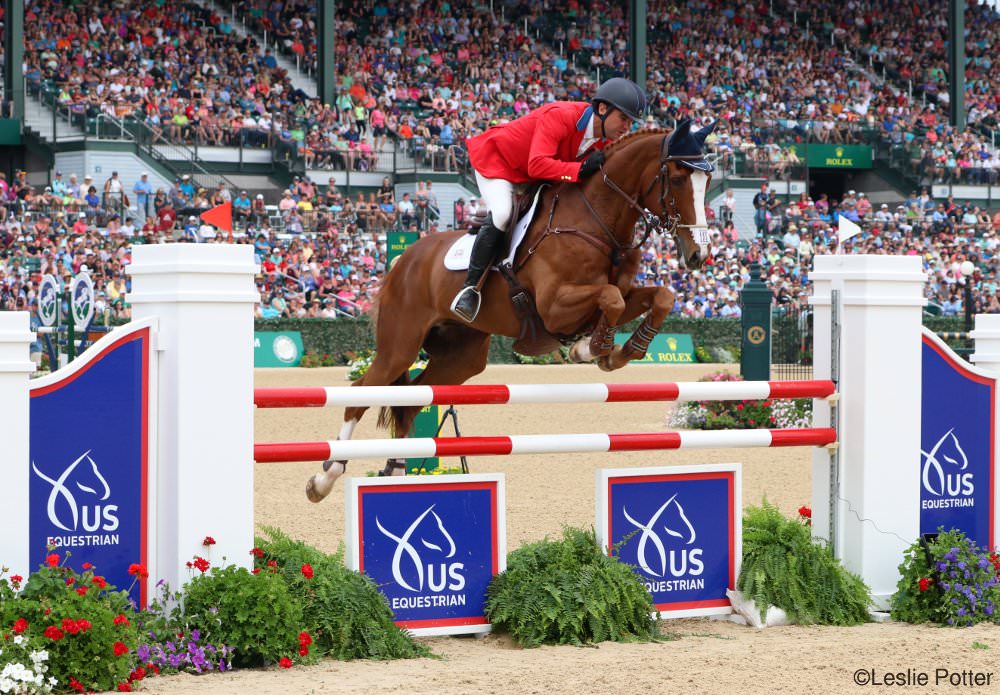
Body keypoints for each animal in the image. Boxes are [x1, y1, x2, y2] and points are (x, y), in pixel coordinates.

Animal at [308, 118, 716, 500]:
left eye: (707, 180)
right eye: (677, 178)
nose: (699, 255)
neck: (598, 218)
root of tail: (403, 260)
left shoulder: (623, 293)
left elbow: (659, 297)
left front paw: (624, 350)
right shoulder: (554, 306)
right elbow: (610, 298)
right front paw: (592, 348)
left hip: (462, 357)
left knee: (409, 402)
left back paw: (394, 471)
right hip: (400, 345)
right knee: (361, 393)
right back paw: (324, 478)